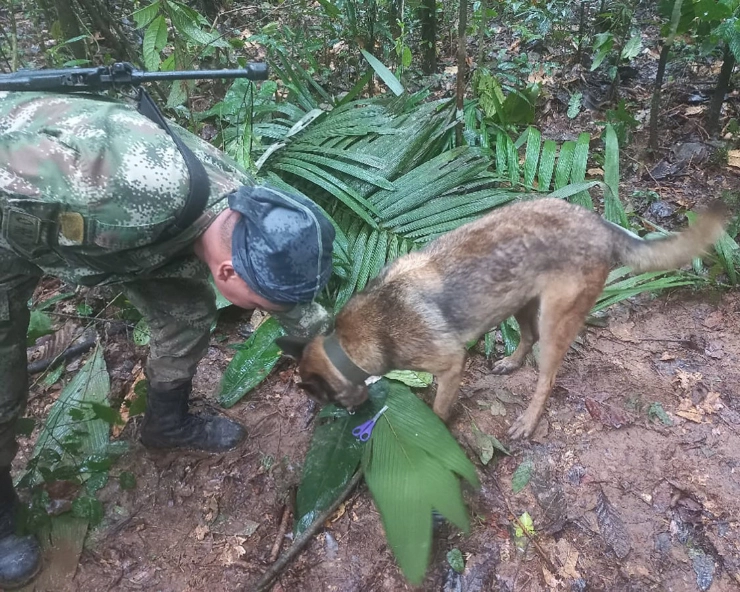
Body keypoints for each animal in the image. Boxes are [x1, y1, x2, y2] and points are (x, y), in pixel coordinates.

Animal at [278, 199, 728, 440]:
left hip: (554, 321)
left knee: (546, 377)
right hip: (520, 302)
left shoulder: (450, 365)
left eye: (326, 400)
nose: (352, 419)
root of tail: (599, 223)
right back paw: (511, 362)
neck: (349, 343)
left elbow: (439, 409)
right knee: (525, 338)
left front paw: (434, 430)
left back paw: (528, 420)